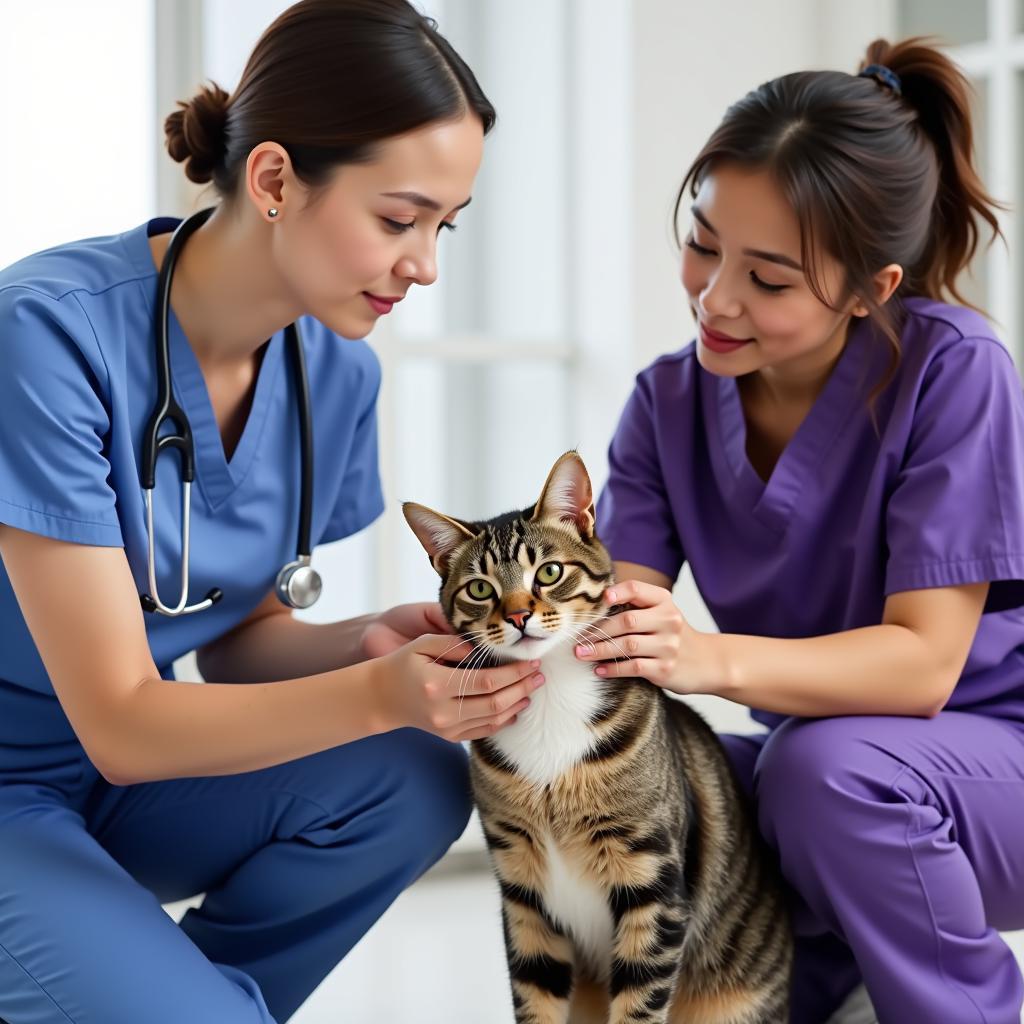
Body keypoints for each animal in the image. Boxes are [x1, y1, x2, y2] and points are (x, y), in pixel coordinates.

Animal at [399, 452, 790, 1019]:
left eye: (549, 572)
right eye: (479, 589)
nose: (518, 615)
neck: (550, 701)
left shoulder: (652, 878)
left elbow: (640, 1001)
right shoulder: (521, 887)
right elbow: (534, 995)